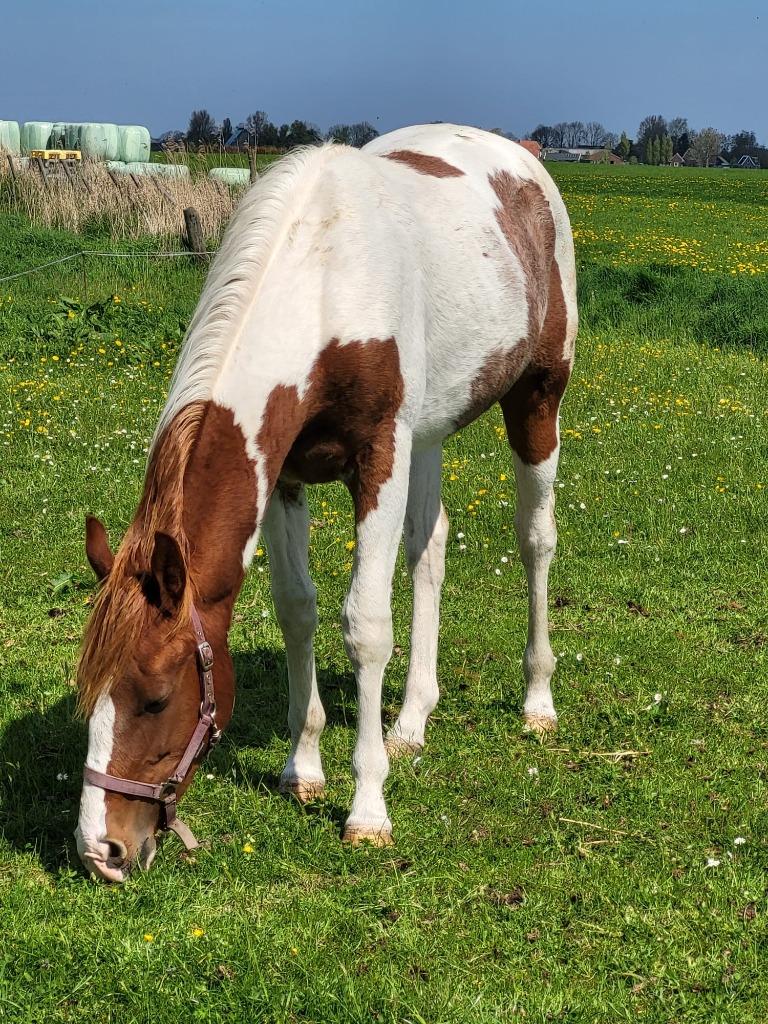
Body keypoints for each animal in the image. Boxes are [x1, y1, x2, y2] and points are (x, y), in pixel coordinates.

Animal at [75, 123, 577, 882]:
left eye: (156, 697)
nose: (100, 851)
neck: (324, 278)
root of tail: (523, 158)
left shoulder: (379, 459)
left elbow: (365, 626)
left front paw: (368, 809)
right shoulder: (286, 474)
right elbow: (297, 609)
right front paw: (302, 768)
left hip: (536, 398)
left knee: (535, 541)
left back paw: (537, 702)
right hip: (429, 432)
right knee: (428, 548)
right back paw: (411, 721)